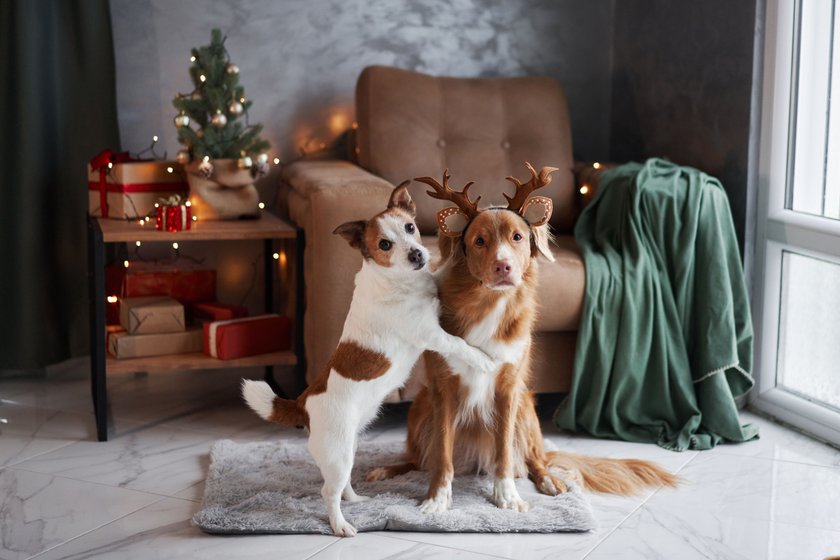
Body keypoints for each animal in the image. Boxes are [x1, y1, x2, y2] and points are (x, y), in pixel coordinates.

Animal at [241, 183, 492, 532]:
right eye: (384, 244)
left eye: (410, 227)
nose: (417, 254)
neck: (399, 280)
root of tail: (303, 402)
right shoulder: (430, 334)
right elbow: (458, 343)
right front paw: (482, 359)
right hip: (337, 452)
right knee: (328, 491)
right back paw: (340, 525)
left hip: (350, 446)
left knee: (343, 483)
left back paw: (356, 500)